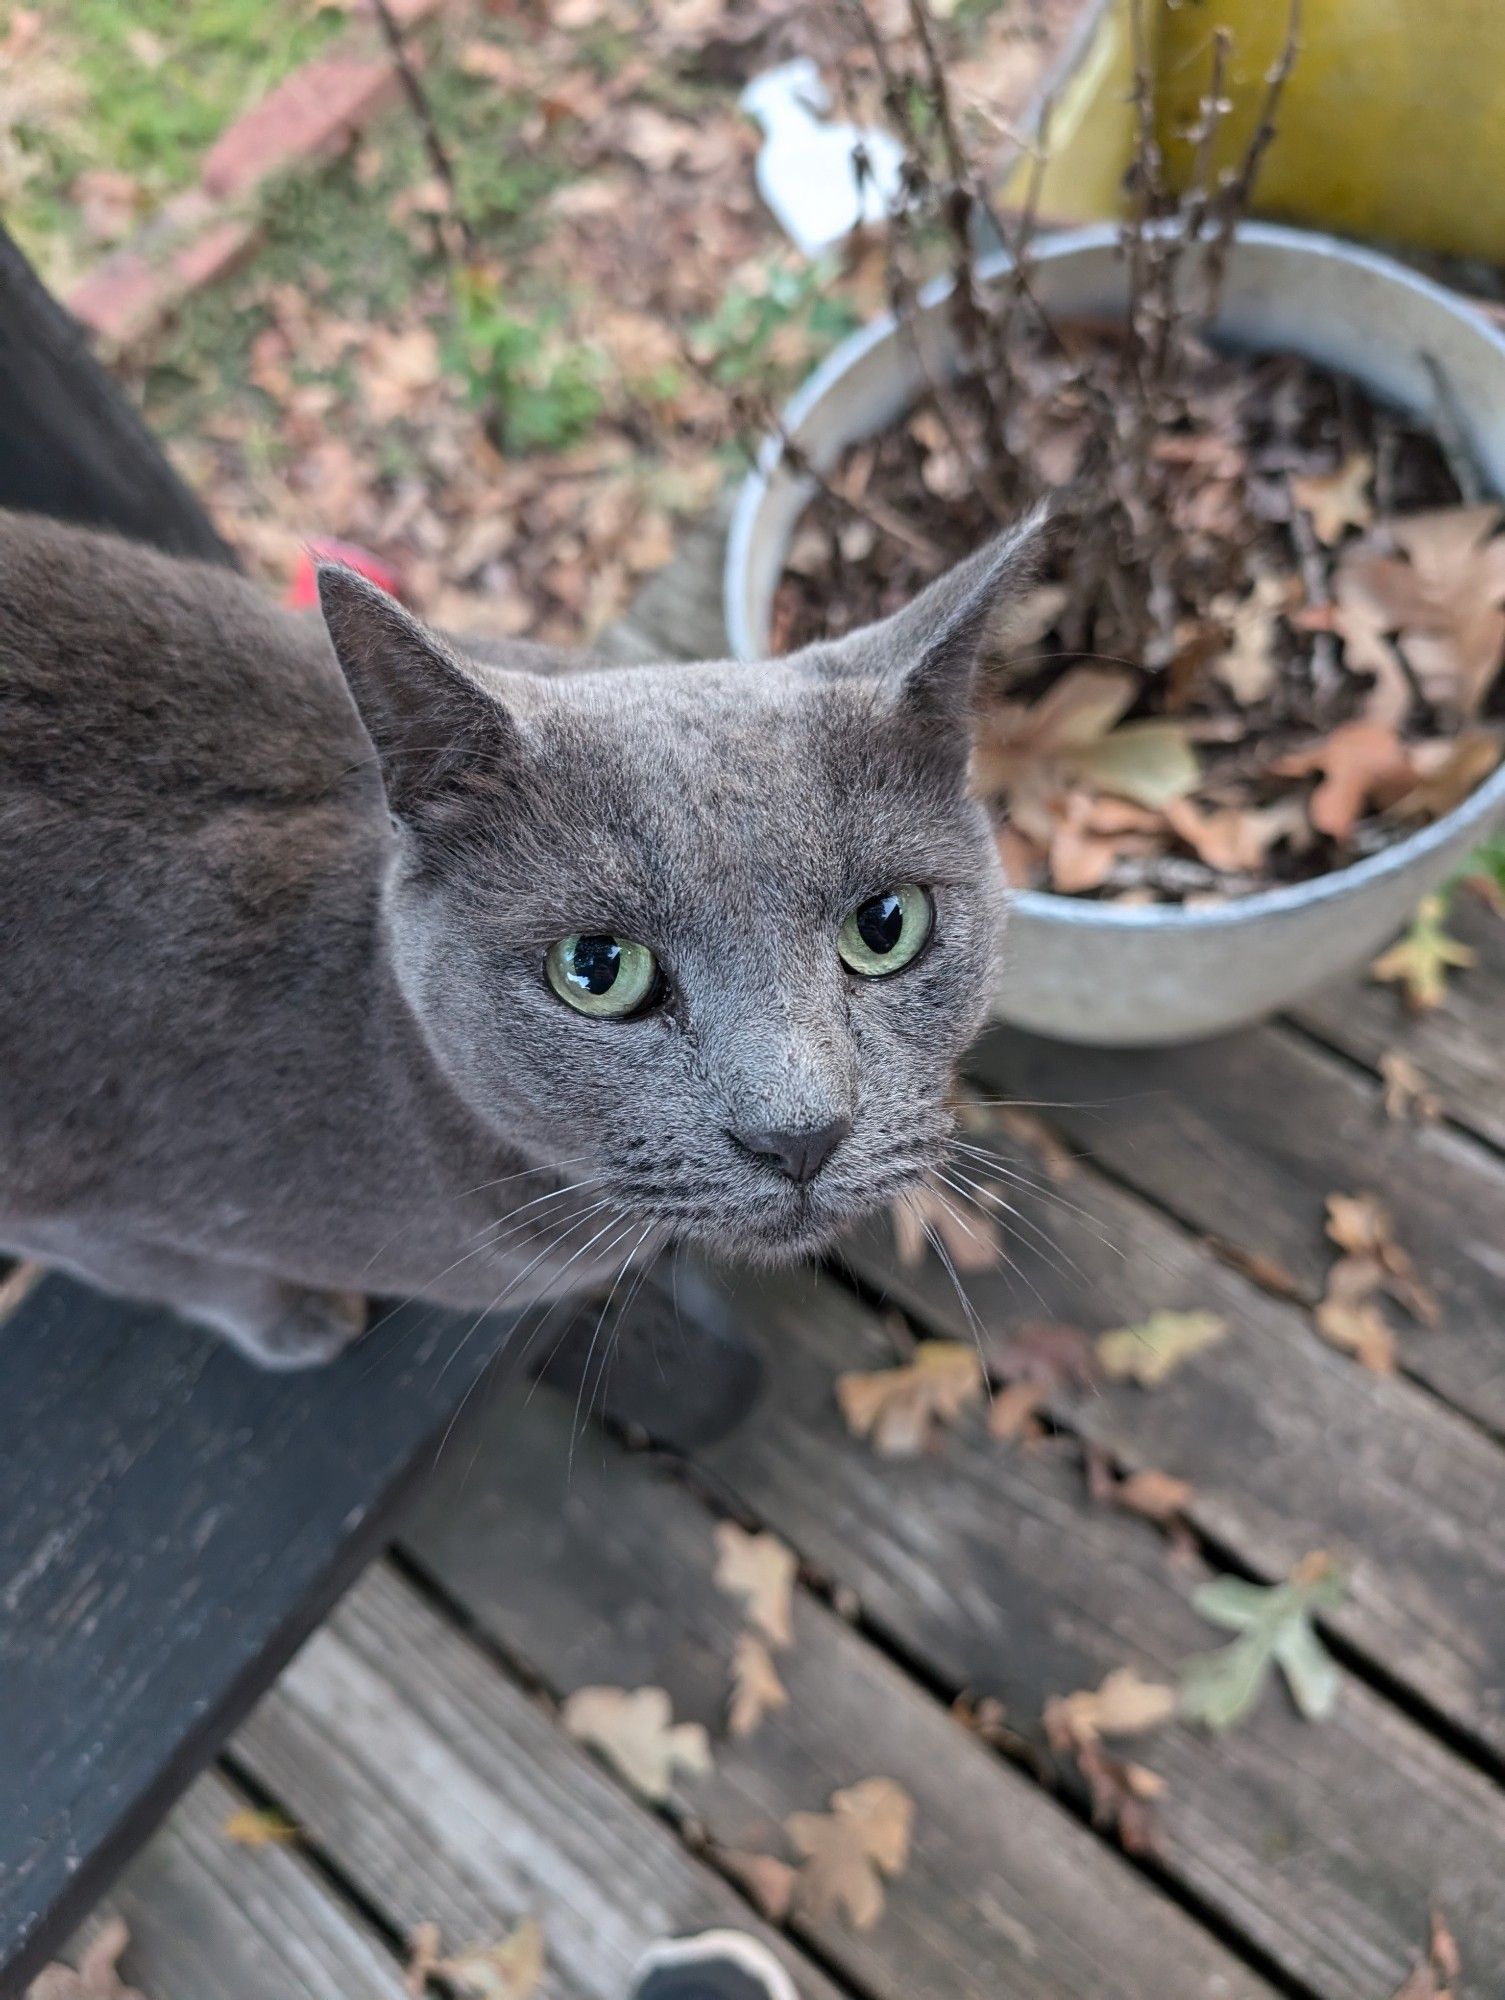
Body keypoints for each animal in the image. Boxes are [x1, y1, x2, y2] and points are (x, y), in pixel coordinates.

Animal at [0, 508, 1032, 1368]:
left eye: (884, 924)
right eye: (597, 969)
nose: (799, 1136)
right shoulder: (70, 1199)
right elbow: (175, 1271)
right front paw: (300, 1325)